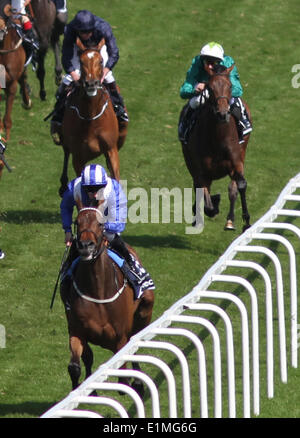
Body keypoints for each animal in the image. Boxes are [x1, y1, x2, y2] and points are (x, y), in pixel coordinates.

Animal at [58, 39, 127, 197]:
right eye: (81, 61)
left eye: (100, 61)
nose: (91, 83)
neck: (91, 119)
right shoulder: (78, 158)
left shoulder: (111, 149)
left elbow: (115, 177)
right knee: (65, 153)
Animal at [61, 207, 155, 396]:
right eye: (77, 222)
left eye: (100, 223)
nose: (85, 245)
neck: (97, 293)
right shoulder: (77, 330)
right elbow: (76, 366)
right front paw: (84, 391)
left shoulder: (120, 337)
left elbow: (123, 379)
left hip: (145, 308)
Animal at [180, 64, 251, 233]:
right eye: (210, 88)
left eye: (230, 86)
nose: (223, 114)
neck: (218, 139)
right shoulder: (200, 170)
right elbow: (206, 200)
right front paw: (212, 205)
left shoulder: (236, 162)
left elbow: (240, 186)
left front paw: (246, 222)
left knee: (232, 188)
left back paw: (230, 221)